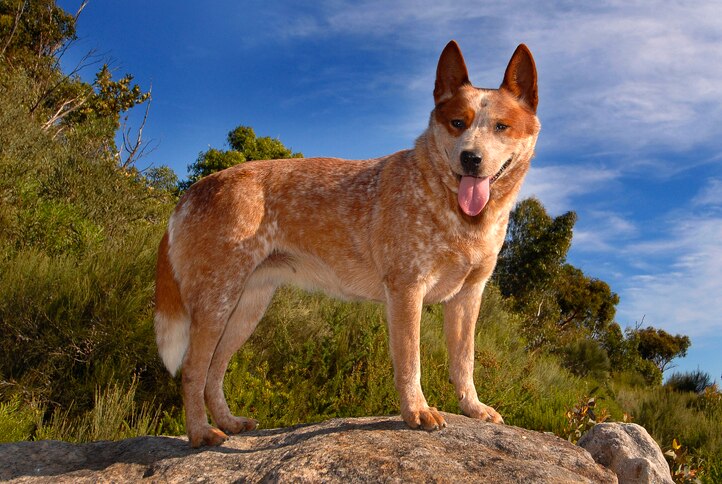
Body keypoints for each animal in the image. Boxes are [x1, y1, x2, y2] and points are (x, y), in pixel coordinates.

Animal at [155, 40, 536, 446]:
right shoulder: (406, 290)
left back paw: (228, 422)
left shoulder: (468, 296)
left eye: (501, 127)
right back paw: (200, 432)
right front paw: (416, 411)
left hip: (246, 308)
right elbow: (410, 361)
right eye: (457, 123)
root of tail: (191, 192)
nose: (470, 158)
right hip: (216, 303)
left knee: (214, 370)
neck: (456, 213)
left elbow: (464, 362)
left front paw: (473, 409)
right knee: (193, 370)